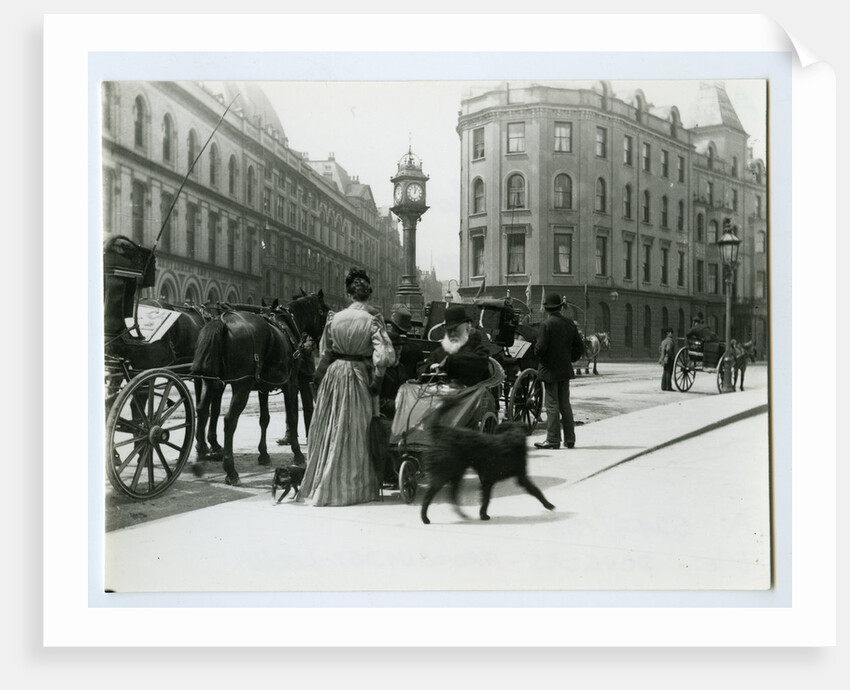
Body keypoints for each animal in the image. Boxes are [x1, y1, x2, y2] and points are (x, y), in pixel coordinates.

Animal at [190, 290, 326, 484]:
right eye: (324, 310)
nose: (317, 343)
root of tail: (222, 321)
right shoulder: (290, 384)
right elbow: (292, 417)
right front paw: (298, 454)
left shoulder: (263, 387)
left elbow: (264, 419)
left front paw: (263, 454)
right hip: (242, 386)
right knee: (229, 420)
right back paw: (230, 470)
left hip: (211, 382)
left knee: (202, 411)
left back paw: (201, 457)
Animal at [420, 398, 552, 520]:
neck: (512, 438)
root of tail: (440, 432)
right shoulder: (494, 478)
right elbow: (535, 491)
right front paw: (549, 504)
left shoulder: (504, 478)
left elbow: (487, 498)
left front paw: (483, 514)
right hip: (445, 472)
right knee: (429, 495)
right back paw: (425, 518)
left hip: (456, 472)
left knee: (452, 494)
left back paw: (462, 515)